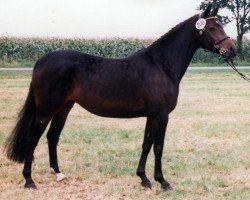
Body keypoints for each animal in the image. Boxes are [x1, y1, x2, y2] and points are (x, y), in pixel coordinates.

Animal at [5, 4, 236, 189]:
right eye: (212, 28)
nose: (232, 49)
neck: (161, 65)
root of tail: (41, 61)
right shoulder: (161, 115)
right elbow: (159, 147)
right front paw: (162, 181)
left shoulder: (152, 115)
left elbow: (146, 144)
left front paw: (144, 179)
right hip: (46, 110)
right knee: (33, 137)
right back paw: (29, 180)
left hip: (64, 108)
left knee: (52, 136)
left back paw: (58, 173)